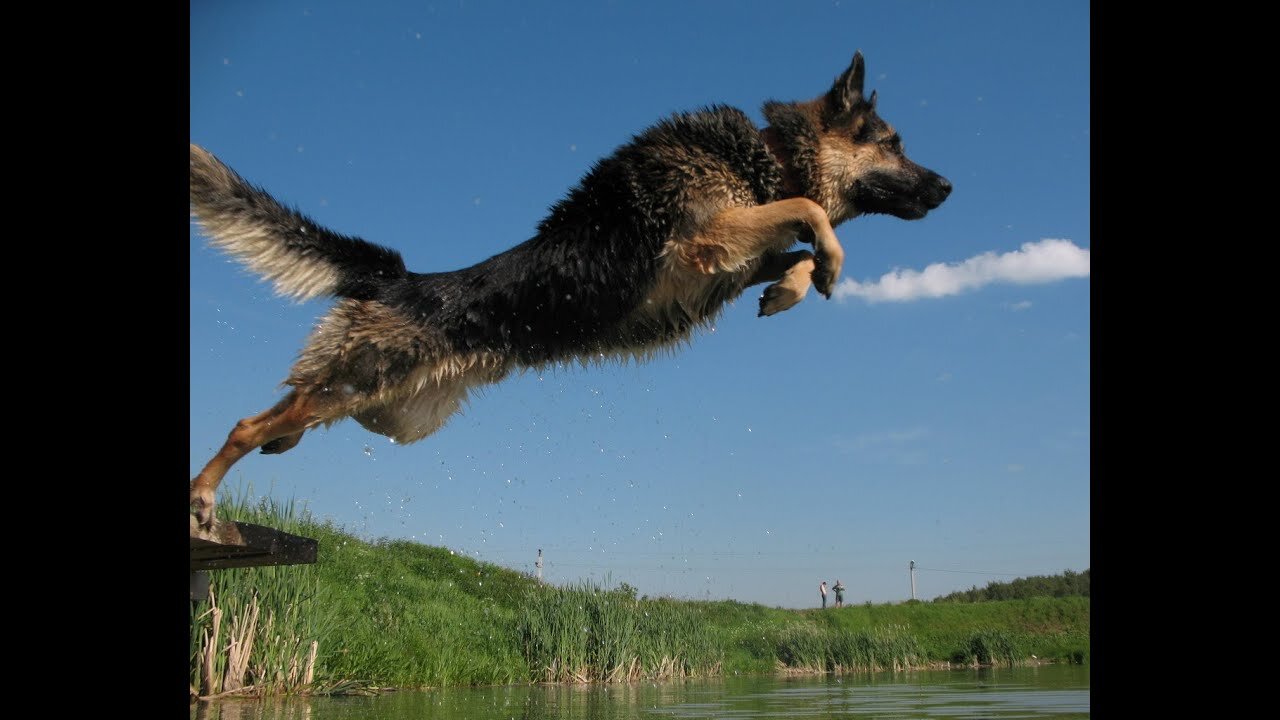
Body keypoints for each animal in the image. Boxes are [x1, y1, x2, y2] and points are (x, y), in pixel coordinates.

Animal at [189, 49, 952, 520]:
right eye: (893, 145)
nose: (949, 186)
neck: (768, 158)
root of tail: (400, 279)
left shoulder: (722, 259)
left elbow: (788, 243)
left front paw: (794, 285)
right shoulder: (706, 238)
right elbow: (808, 211)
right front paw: (827, 263)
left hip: (386, 410)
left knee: (286, 414)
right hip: (361, 384)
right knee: (247, 423)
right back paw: (202, 496)